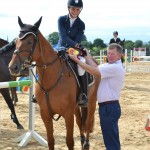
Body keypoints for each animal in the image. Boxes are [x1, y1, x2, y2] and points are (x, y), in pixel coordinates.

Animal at [8, 16, 99, 150]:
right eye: (16, 41)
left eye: (29, 42)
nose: (12, 67)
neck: (51, 78)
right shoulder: (45, 114)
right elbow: (50, 140)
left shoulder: (68, 114)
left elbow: (69, 141)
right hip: (76, 106)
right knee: (80, 122)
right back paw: (82, 141)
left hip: (92, 101)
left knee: (87, 122)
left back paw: (86, 143)